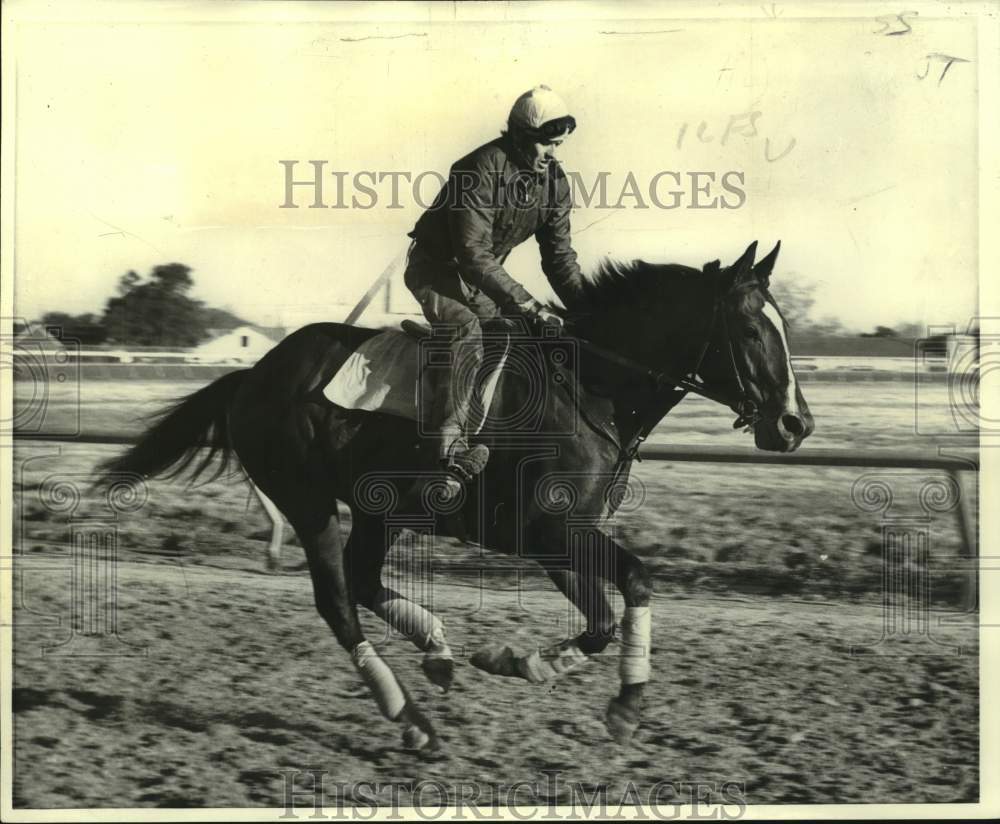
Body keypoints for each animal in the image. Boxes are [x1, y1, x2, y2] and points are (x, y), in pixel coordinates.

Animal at [97, 240, 812, 752]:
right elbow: (627, 591)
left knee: (362, 581)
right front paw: (610, 697)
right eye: (752, 331)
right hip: (308, 503)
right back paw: (410, 717)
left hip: (379, 510)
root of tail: (254, 373)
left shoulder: (564, 538)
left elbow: (608, 613)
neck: (591, 385)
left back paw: (437, 650)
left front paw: (534, 668)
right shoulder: (549, 533)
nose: (795, 424)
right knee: (338, 601)